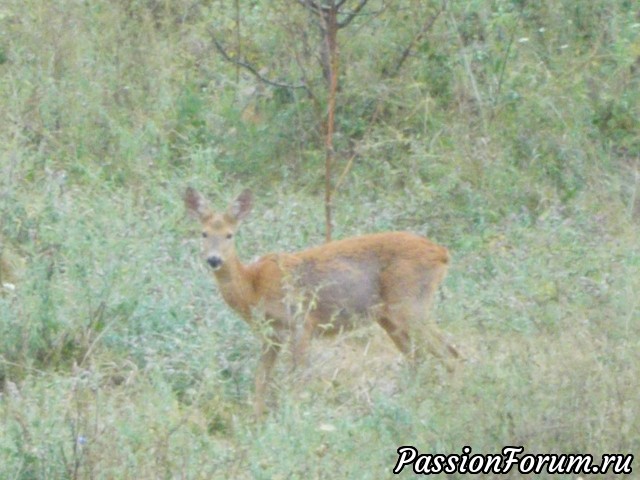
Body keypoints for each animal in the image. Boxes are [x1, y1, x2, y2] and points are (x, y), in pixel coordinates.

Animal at [185, 188, 460, 416]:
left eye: (229, 235)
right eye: (204, 233)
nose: (214, 260)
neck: (253, 287)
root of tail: (442, 253)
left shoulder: (301, 323)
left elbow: (298, 378)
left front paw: (293, 418)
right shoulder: (271, 335)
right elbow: (261, 378)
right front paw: (257, 421)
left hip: (410, 304)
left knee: (449, 352)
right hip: (389, 318)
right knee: (419, 358)